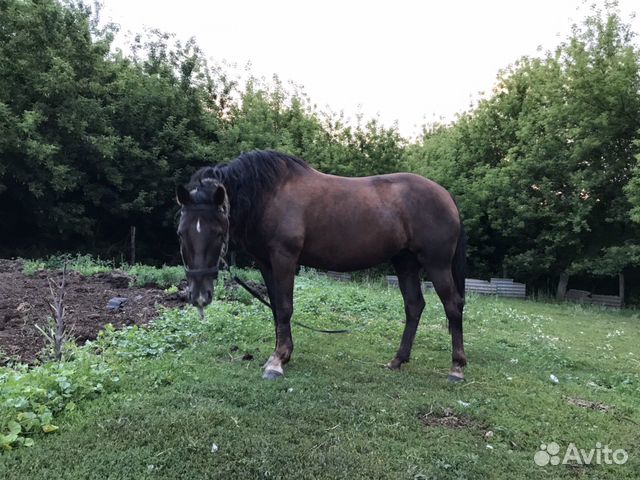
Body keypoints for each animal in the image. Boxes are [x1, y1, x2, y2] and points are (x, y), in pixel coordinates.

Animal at [178, 150, 468, 382]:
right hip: (405, 262)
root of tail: (446, 195)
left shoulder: (284, 258)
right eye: (181, 233)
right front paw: (281, 354)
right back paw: (397, 360)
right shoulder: (266, 263)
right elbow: (276, 308)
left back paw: (456, 367)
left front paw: (277, 361)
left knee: (452, 305)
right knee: (414, 306)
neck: (270, 195)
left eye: (218, 232)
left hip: (437, 264)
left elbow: (285, 308)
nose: (199, 296)